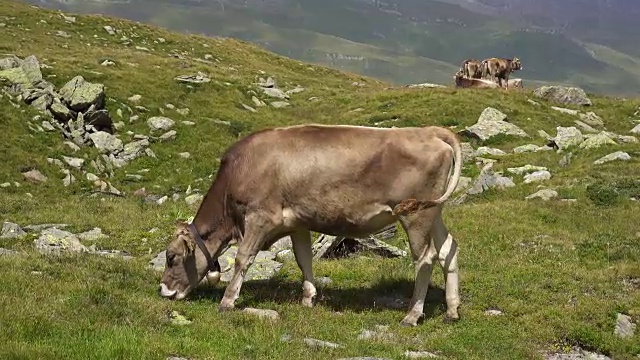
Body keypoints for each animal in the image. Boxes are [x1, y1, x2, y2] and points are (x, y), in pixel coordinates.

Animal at [158, 123, 462, 326]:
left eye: (171, 257)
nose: (163, 290)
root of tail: (430, 131)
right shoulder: (297, 222)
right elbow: (303, 258)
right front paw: (308, 298)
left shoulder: (259, 217)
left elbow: (244, 258)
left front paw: (228, 301)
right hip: (432, 211)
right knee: (449, 248)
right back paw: (452, 310)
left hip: (415, 215)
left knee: (425, 258)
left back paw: (412, 314)